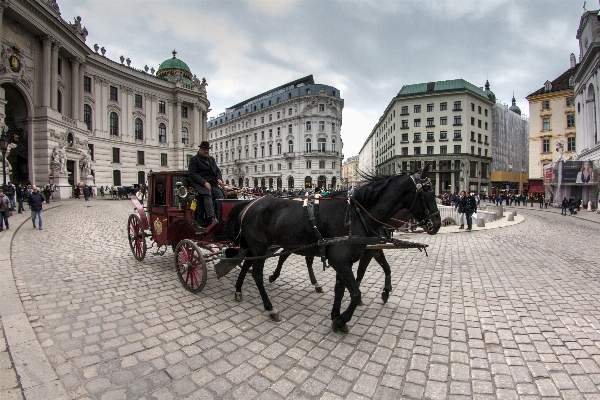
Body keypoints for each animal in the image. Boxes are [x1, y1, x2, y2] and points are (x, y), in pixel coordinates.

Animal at [225, 164, 440, 332]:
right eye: (427, 191)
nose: (436, 224)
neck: (354, 214)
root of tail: (249, 203)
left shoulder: (347, 261)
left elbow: (341, 289)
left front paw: (336, 315)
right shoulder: (342, 261)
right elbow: (355, 292)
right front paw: (342, 320)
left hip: (256, 247)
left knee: (247, 264)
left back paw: (238, 290)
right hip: (260, 247)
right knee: (257, 274)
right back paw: (270, 307)